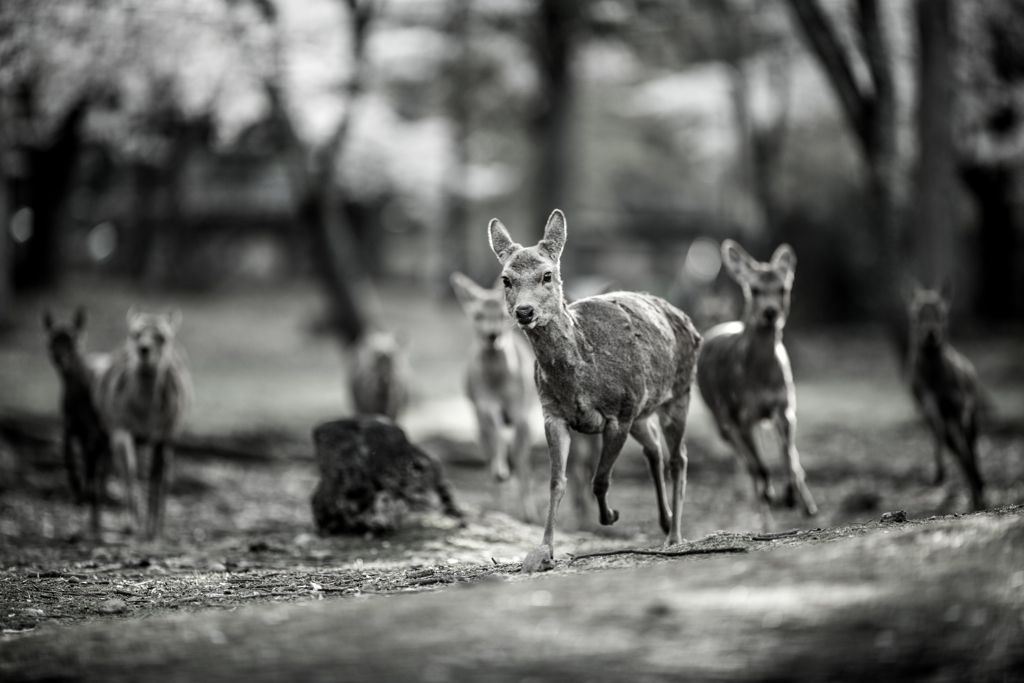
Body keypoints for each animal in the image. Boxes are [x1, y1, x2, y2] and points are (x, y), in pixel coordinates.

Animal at [41, 307, 111, 536]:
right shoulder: (69, 426)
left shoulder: (94, 430)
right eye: (52, 339)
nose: (60, 357)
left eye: (72, 339)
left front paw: (87, 494)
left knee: (103, 465)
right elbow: (68, 456)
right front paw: (77, 492)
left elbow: (91, 464)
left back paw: (97, 502)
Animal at [97, 309, 192, 540]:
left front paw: (152, 528)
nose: (144, 349)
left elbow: (155, 476)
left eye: (163, 337)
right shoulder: (121, 428)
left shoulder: (163, 435)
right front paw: (129, 524)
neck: (144, 416)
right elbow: (129, 470)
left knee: (165, 475)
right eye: (135, 333)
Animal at [489, 209, 704, 573]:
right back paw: (664, 521)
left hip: (679, 392)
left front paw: (609, 516)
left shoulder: (619, 412)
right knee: (655, 449)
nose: (524, 312)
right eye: (506, 279)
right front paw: (544, 550)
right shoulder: (553, 414)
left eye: (547, 275)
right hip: (642, 409)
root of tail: (686, 319)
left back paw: (674, 536)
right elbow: (556, 482)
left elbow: (600, 478)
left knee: (679, 458)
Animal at [696, 240, 815, 532]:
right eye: (754, 289)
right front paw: (775, 497)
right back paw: (766, 518)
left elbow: (788, 456)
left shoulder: (784, 407)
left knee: (788, 457)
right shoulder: (743, 414)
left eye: (783, 288)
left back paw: (805, 504)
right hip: (719, 415)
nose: (770, 312)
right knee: (747, 463)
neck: (761, 378)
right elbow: (760, 466)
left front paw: (792, 497)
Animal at [905, 278, 983, 511]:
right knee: (956, 449)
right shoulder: (926, 401)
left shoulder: (960, 407)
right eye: (915, 315)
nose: (930, 333)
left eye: (941, 313)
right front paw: (938, 474)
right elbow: (936, 428)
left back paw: (979, 489)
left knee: (970, 450)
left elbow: (966, 450)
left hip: (973, 417)